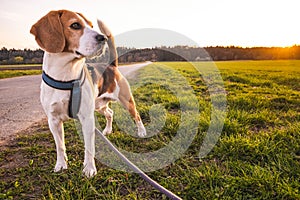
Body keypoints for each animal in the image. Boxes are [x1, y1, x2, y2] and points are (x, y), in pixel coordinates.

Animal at [30, 10, 146, 177]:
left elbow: (89, 147)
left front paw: (89, 169)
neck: (66, 76)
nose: (103, 38)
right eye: (75, 25)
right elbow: (60, 146)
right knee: (110, 113)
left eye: (91, 26)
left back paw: (142, 132)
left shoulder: (87, 119)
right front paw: (61, 164)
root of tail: (111, 65)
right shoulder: (53, 120)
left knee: (136, 116)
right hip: (99, 105)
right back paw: (107, 130)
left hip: (126, 101)